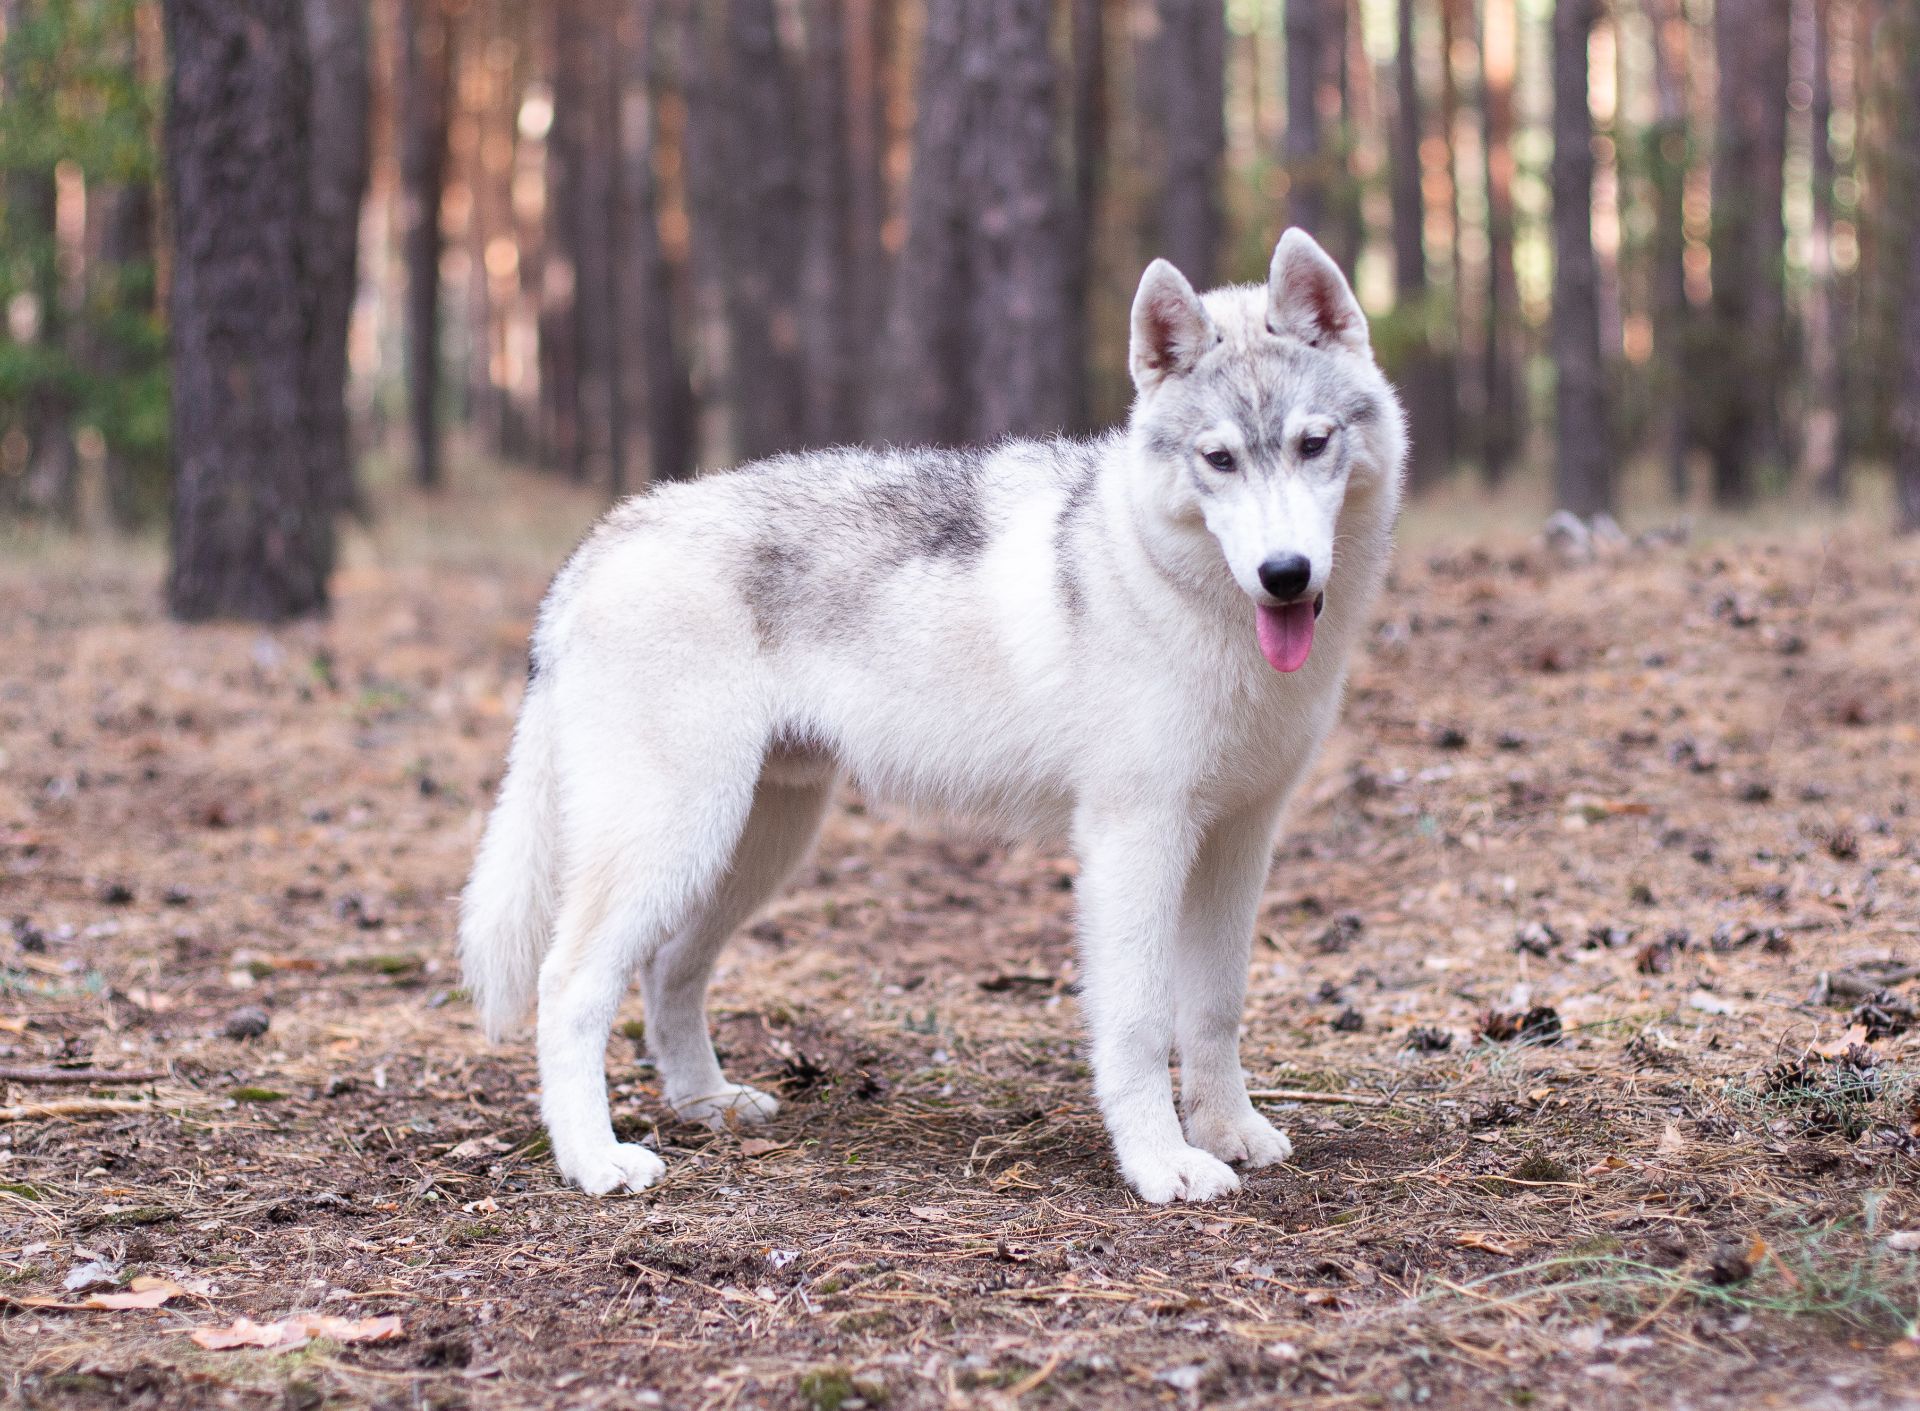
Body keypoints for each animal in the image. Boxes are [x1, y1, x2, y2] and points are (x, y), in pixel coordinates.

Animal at [456, 229, 1405, 1205]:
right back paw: (594, 1159)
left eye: (1313, 443)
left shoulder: (1239, 838)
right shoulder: (1134, 839)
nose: (1285, 573)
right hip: (678, 838)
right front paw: (1162, 1162)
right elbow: (1141, 1023)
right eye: (1219, 461)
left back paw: (707, 1103)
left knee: (669, 970)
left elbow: (1214, 1008)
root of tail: (601, 539)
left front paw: (1229, 1132)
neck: (1175, 587)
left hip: (750, 848)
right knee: (568, 982)